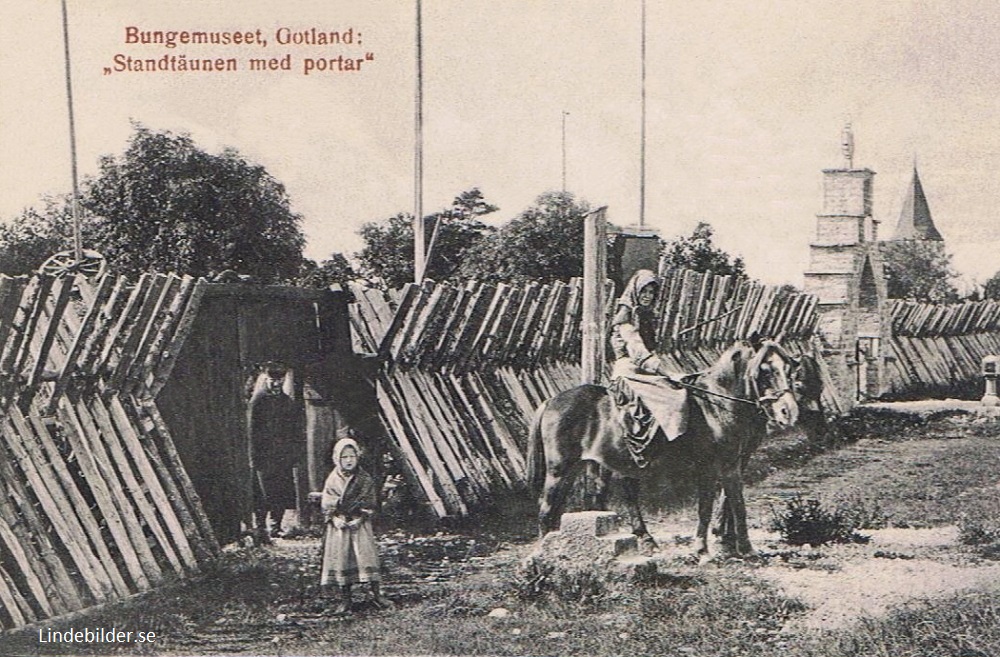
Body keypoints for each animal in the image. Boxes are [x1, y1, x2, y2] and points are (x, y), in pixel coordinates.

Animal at [528, 338, 800, 560]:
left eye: (787, 369)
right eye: (764, 370)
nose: (788, 411)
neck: (716, 404)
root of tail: (551, 401)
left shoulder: (726, 465)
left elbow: (723, 505)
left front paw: (728, 547)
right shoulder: (715, 467)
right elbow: (719, 506)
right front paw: (718, 549)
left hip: (577, 469)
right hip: (559, 470)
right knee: (546, 509)